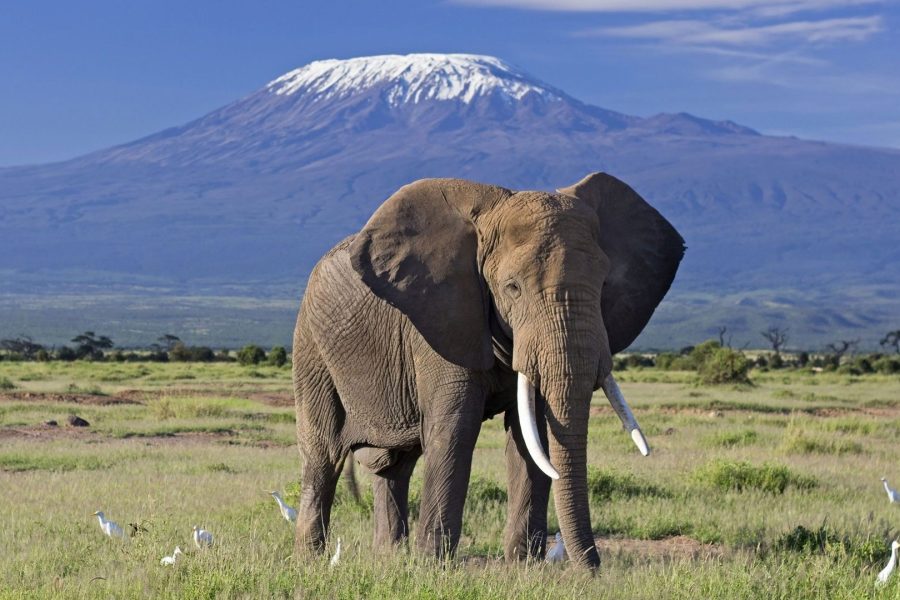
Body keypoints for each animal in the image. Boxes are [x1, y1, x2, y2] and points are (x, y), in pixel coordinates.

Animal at [292, 171, 684, 568]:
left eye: (604, 284)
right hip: (311, 346)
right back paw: (311, 560)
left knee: (396, 464)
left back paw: (390, 558)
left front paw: (524, 567)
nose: (593, 571)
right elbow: (456, 429)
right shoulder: (441, 321)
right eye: (513, 288)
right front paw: (434, 567)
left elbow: (532, 433)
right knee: (324, 454)